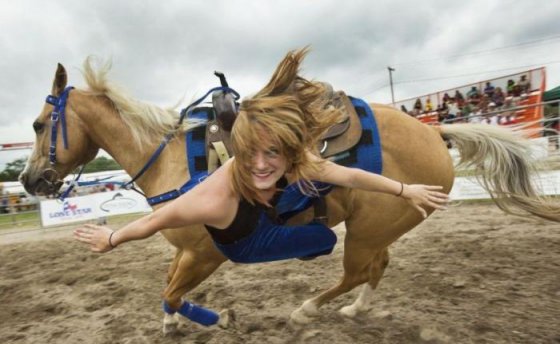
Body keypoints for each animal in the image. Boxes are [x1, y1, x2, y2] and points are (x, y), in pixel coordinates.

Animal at [19, 53, 556, 334]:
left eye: (40, 124)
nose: (28, 181)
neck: (174, 161)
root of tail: (435, 133)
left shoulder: (206, 253)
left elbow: (172, 289)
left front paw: (214, 318)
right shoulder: (185, 248)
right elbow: (167, 286)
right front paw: (172, 324)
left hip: (365, 229)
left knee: (357, 269)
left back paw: (308, 309)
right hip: (379, 227)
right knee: (377, 267)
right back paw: (355, 310)